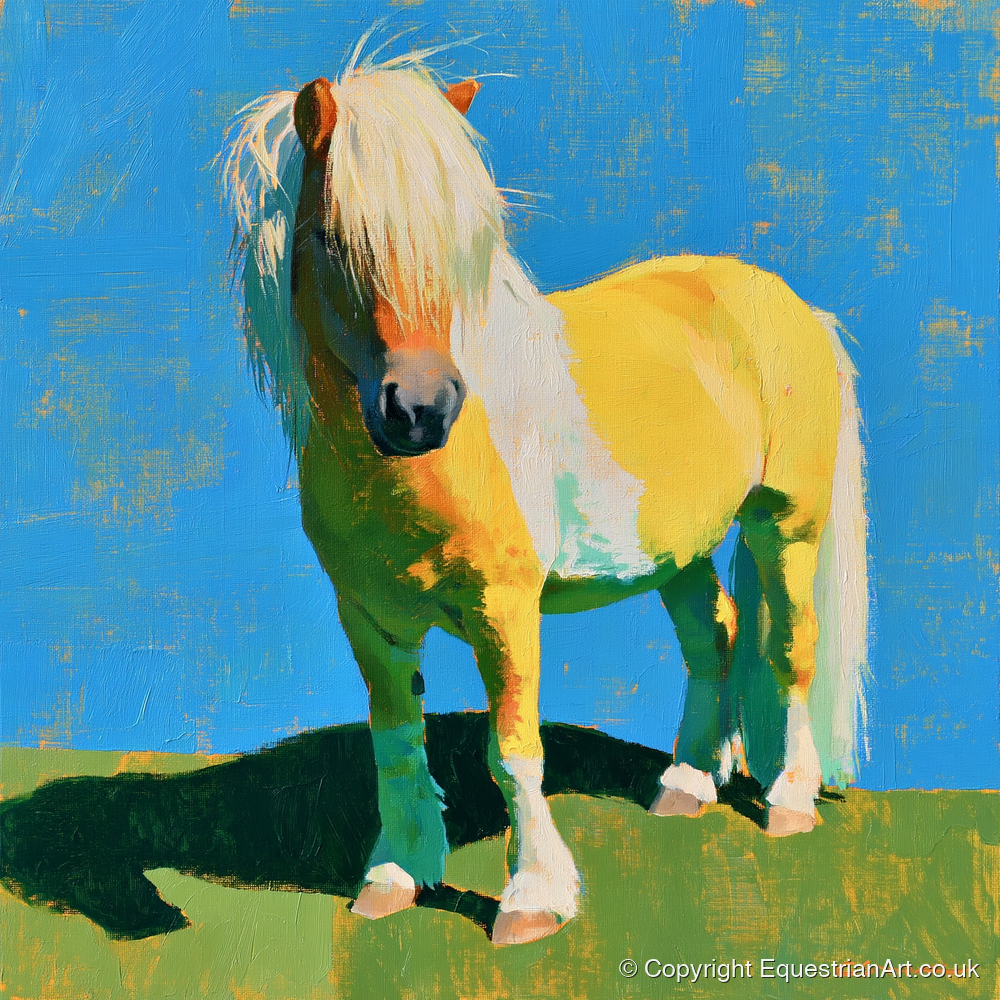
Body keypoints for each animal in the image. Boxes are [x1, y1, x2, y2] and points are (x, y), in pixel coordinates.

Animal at [221, 48, 867, 946]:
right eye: (331, 237)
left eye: (461, 244)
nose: (422, 409)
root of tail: (792, 305)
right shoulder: (370, 616)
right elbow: (396, 739)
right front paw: (393, 876)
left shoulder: (505, 606)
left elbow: (513, 749)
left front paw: (531, 901)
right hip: (678, 550)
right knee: (716, 634)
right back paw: (687, 785)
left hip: (785, 524)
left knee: (790, 646)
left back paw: (790, 801)